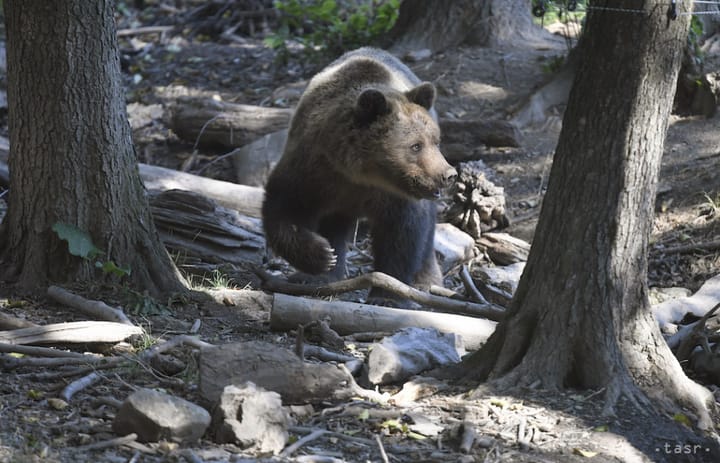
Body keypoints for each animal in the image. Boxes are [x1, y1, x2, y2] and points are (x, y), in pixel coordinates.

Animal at [262, 47, 457, 300]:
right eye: (416, 145)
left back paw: (427, 280)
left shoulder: (396, 197)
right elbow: (283, 208)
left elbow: (403, 235)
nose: (448, 174)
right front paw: (322, 256)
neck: (360, 173)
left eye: (436, 141)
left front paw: (388, 293)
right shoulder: (312, 171)